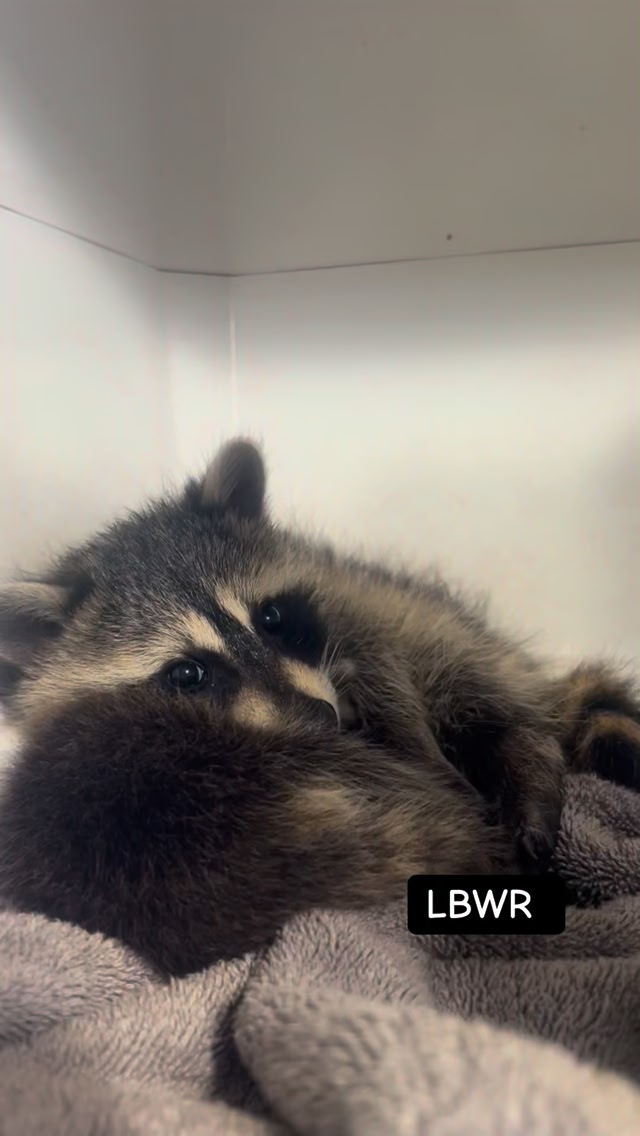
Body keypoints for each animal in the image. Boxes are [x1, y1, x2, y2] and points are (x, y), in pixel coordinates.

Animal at [0, 438, 638, 977]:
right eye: (187, 674)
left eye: (272, 616)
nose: (321, 721)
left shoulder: (351, 604)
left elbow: (386, 672)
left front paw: (424, 747)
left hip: (438, 624)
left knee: (486, 694)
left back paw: (523, 757)